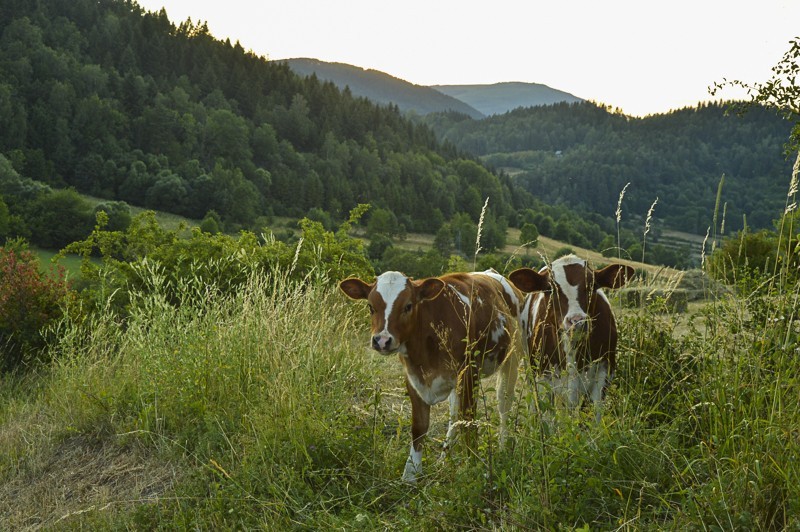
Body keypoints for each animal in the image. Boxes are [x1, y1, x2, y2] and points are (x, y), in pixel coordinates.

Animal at [340, 270, 520, 482]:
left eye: (408, 306)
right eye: (370, 306)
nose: (382, 340)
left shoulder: (469, 372)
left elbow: (468, 421)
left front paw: (473, 465)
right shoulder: (413, 377)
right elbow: (419, 426)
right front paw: (410, 473)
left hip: (513, 357)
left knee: (504, 405)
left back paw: (502, 447)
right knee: (453, 415)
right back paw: (444, 457)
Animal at [510, 256, 636, 422]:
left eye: (591, 286)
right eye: (551, 289)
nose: (577, 321)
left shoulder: (603, 374)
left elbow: (592, 417)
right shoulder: (544, 379)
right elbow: (548, 418)